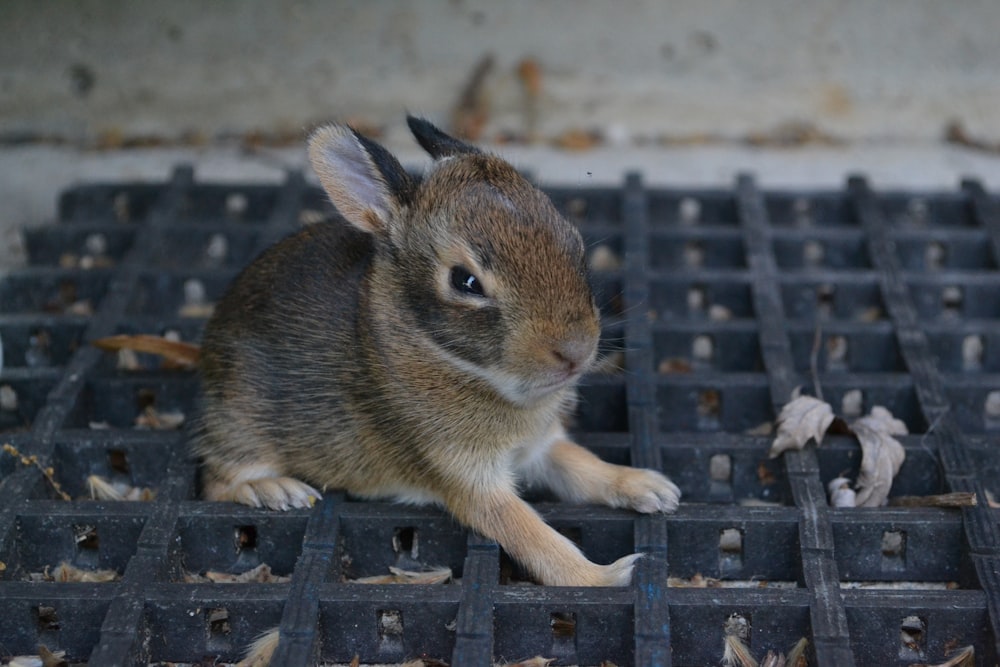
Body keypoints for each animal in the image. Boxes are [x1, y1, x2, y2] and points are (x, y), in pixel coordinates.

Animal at [195, 117, 680, 588]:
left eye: (574, 243)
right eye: (465, 282)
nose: (575, 352)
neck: (454, 361)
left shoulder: (539, 448)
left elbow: (582, 466)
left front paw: (649, 487)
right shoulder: (463, 475)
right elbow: (528, 533)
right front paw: (605, 575)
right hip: (243, 420)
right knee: (215, 481)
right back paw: (275, 490)